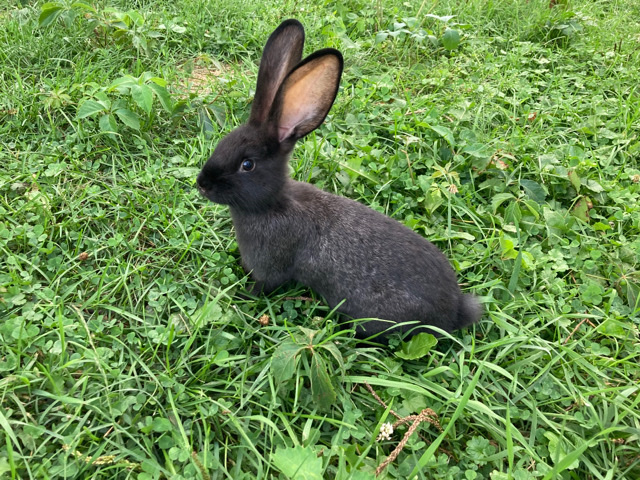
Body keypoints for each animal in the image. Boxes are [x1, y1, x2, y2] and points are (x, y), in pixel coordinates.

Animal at [196, 19, 482, 341]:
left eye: (247, 164)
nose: (202, 183)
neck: (271, 204)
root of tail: (454, 311)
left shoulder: (271, 268)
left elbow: (263, 285)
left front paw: (242, 297)